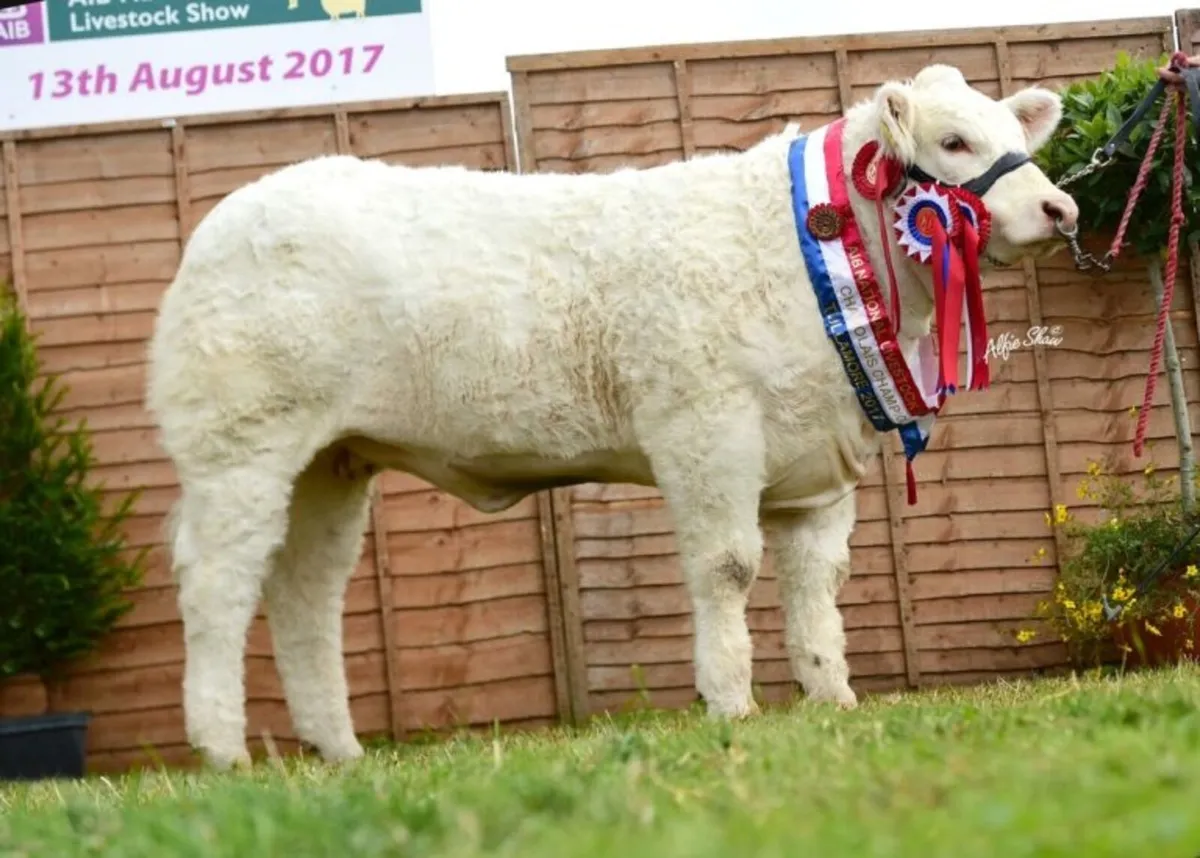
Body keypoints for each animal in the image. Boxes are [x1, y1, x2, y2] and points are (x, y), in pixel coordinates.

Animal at [145, 63, 1079, 770]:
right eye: (954, 143)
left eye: (1014, 136)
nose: (1060, 209)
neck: (806, 244)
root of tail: (234, 214)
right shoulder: (706, 428)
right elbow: (728, 568)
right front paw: (731, 701)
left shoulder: (818, 459)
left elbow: (819, 585)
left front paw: (833, 698)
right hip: (241, 446)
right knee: (219, 583)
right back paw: (224, 750)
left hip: (331, 463)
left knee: (305, 592)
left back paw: (338, 751)